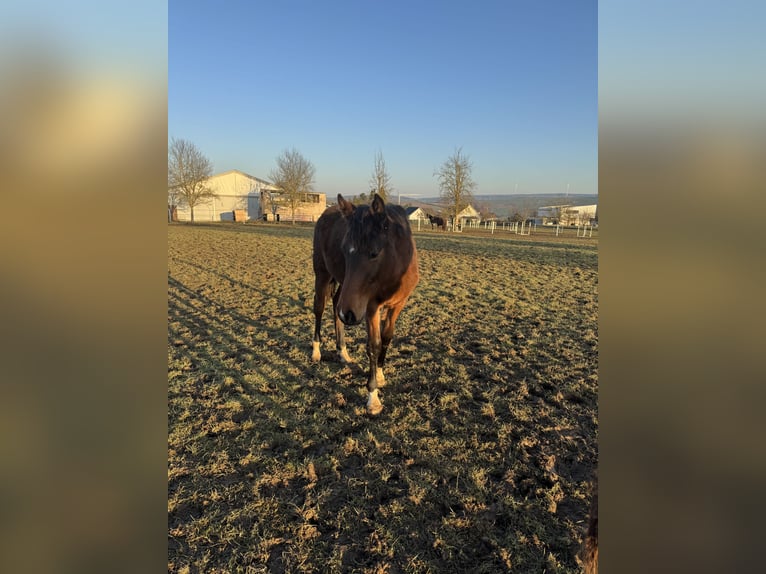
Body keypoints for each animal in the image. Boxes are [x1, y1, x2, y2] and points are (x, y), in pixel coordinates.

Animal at [312, 193, 419, 415]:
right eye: (345, 250)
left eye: (374, 253)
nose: (350, 314)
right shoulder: (370, 308)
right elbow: (374, 345)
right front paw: (373, 398)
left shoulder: (398, 305)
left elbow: (386, 338)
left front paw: (380, 374)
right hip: (323, 274)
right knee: (319, 308)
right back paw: (316, 351)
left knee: (336, 306)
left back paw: (343, 352)